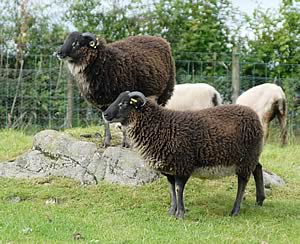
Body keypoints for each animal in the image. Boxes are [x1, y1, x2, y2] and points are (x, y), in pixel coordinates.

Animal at [103, 90, 264, 218]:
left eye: (124, 103)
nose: (105, 114)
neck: (160, 126)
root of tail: (254, 115)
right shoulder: (169, 169)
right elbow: (171, 190)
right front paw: (171, 212)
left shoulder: (183, 165)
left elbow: (178, 189)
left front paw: (180, 214)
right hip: (251, 157)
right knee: (258, 169)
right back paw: (259, 200)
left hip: (245, 159)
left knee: (242, 182)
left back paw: (235, 211)